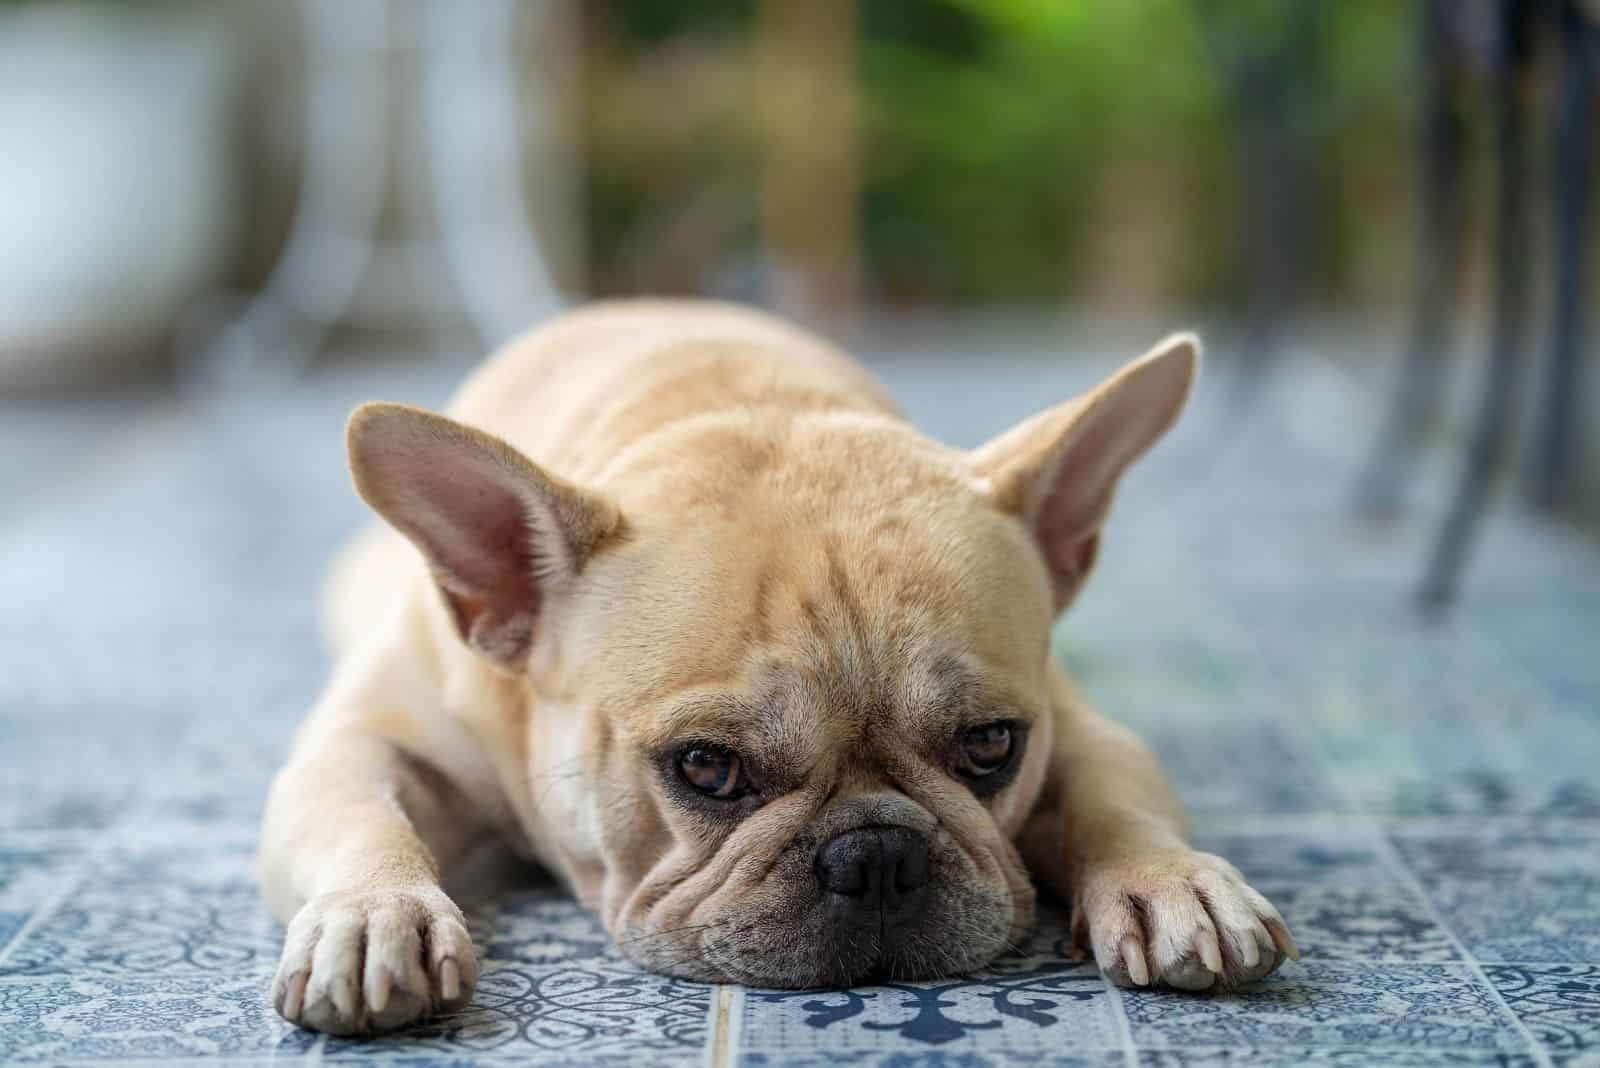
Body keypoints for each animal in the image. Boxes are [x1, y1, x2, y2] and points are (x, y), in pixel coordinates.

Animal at [256, 300, 1292, 1036]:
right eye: (707, 767)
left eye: (992, 747)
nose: (877, 855)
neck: (738, 405)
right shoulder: (359, 747)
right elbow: (360, 817)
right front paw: (374, 916)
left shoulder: (1080, 724)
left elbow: (1114, 791)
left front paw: (1173, 880)